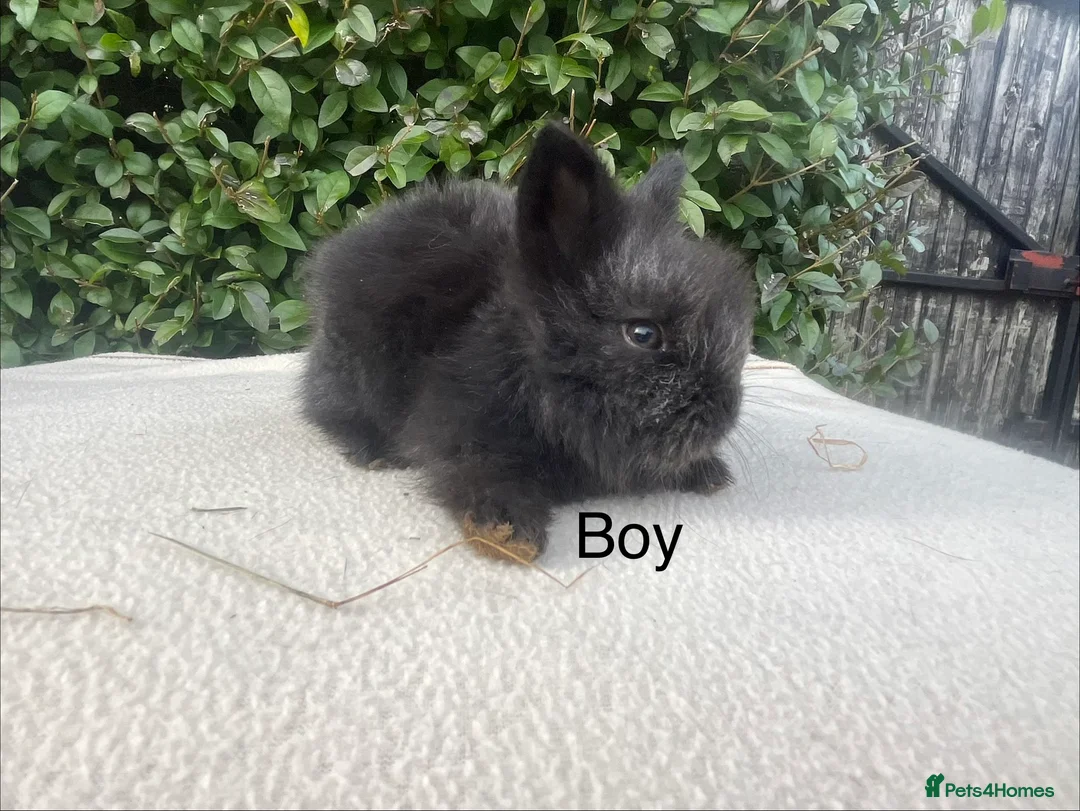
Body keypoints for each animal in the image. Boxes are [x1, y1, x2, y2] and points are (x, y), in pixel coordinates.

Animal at [301, 122, 754, 557]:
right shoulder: (458, 429)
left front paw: (709, 472)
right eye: (643, 334)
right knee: (325, 409)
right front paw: (508, 531)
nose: (725, 415)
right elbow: (478, 470)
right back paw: (372, 451)